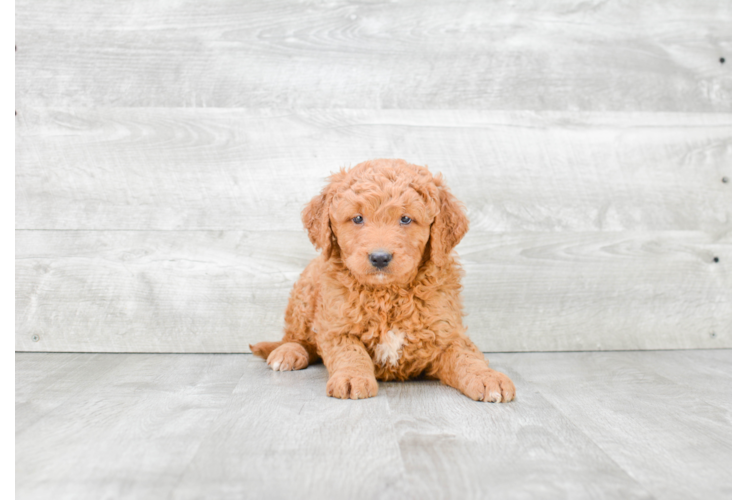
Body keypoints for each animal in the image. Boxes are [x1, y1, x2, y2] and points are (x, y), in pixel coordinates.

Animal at [251, 160, 516, 402]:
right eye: (358, 218)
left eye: (406, 219)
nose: (380, 257)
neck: (387, 293)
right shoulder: (336, 328)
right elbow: (351, 352)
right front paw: (352, 377)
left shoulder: (446, 331)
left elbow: (466, 356)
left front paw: (487, 377)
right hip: (305, 293)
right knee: (297, 337)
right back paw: (287, 352)